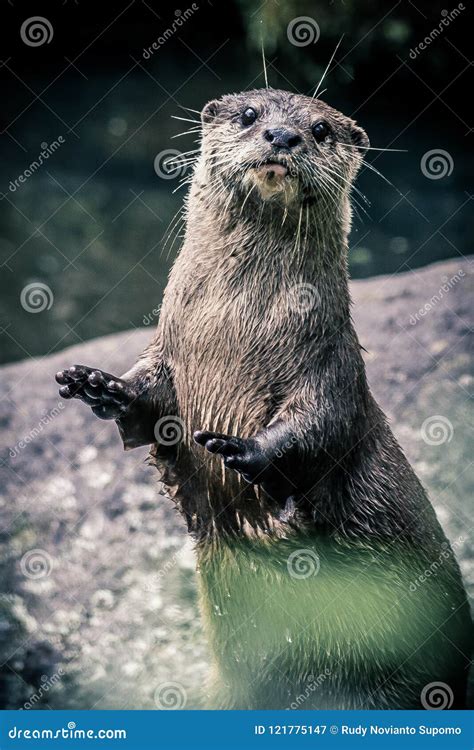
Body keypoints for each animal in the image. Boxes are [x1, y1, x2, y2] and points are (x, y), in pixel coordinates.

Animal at [54, 89, 470, 712]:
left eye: (320, 129)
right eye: (250, 115)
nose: (282, 136)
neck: (235, 332)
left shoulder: (330, 366)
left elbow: (320, 424)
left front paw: (243, 451)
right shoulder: (169, 352)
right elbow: (149, 401)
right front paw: (101, 385)